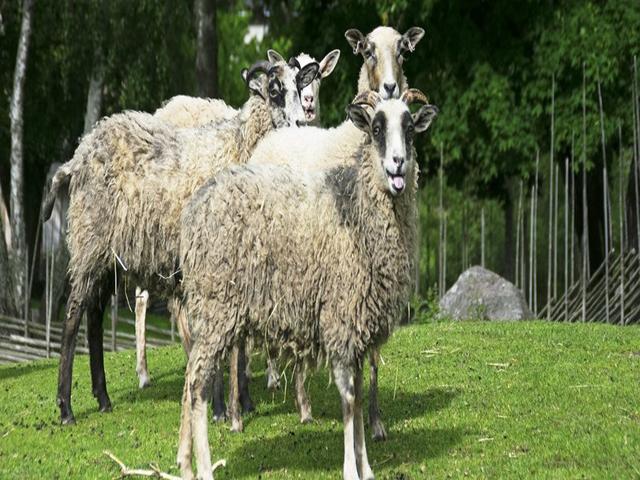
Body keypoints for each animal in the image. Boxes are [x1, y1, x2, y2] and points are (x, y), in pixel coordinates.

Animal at [44, 58, 320, 425]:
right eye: (274, 91)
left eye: (300, 86)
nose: (301, 122)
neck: (238, 146)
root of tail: (79, 154)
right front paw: (219, 408)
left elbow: (240, 340)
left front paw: (244, 403)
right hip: (90, 239)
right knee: (74, 314)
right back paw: (65, 407)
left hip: (111, 254)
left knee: (96, 314)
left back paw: (102, 398)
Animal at [177, 89, 438, 480]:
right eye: (376, 129)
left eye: (409, 128)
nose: (398, 165)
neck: (356, 214)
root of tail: (195, 209)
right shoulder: (341, 319)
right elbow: (348, 399)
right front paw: (350, 469)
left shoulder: (358, 327)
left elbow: (359, 396)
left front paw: (367, 467)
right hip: (215, 307)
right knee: (197, 385)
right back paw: (205, 467)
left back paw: (185, 463)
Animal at [246, 25, 426, 440]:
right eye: (367, 51)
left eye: (403, 51)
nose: (390, 87)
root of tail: (272, 138)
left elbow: (373, 354)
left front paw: (375, 421)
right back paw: (274, 377)